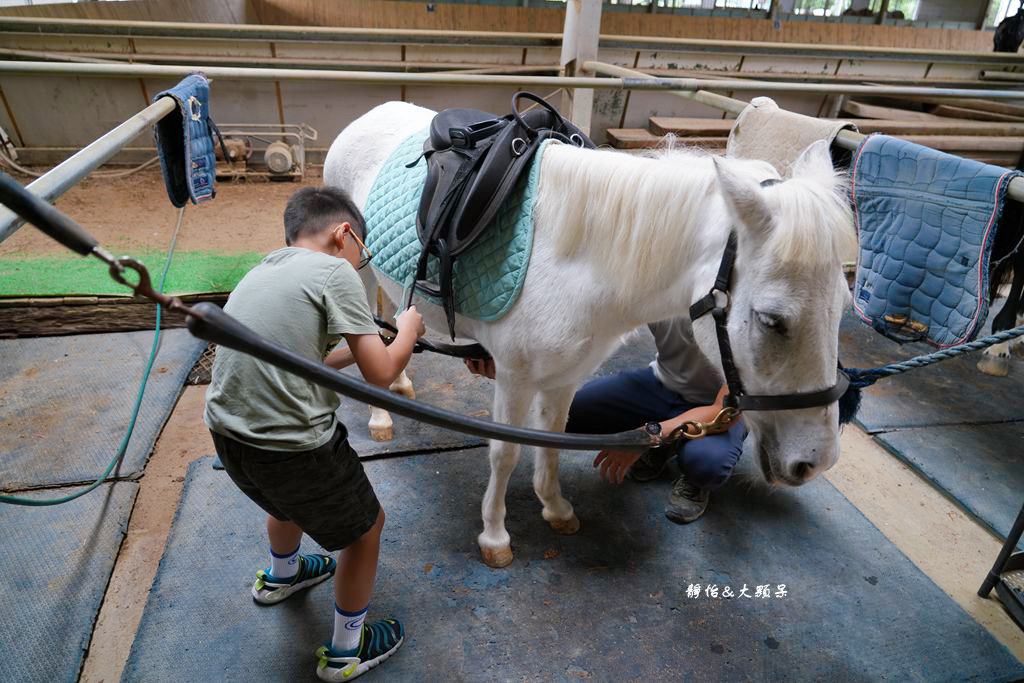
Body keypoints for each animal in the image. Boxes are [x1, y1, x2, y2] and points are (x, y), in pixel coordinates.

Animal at [323, 101, 851, 569]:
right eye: (771, 320)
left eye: (844, 306)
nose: (817, 460)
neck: (580, 261)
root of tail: (370, 115)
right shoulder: (514, 378)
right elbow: (505, 453)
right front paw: (495, 536)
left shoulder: (567, 375)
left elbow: (553, 439)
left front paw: (555, 508)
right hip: (359, 271)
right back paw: (380, 416)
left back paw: (399, 384)